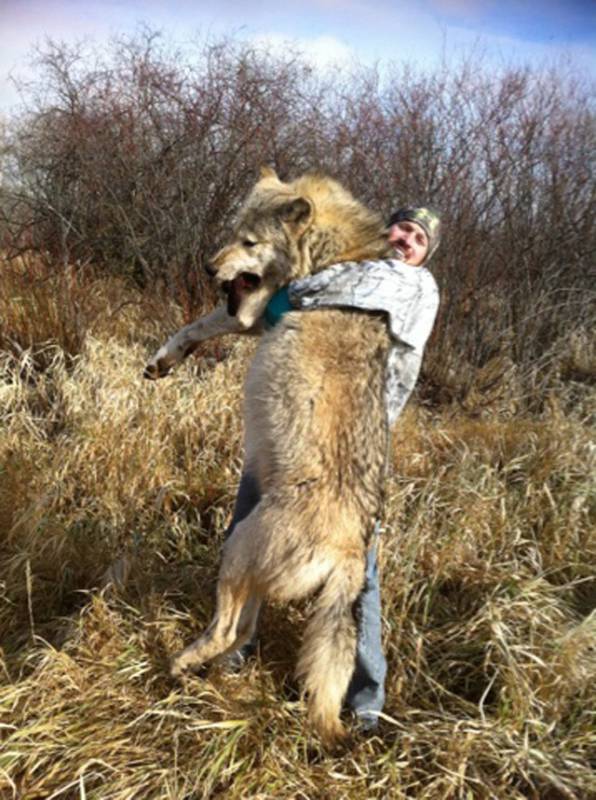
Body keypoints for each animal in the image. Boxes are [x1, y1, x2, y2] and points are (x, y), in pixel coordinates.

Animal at [147, 169, 394, 744]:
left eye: (250, 242)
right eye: (231, 232)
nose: (208, 266)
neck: (334, 255)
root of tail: (350, 553)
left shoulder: (261, 311)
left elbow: (218, 318)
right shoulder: (251, 317)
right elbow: (198, 324)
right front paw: (164, 360)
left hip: (236, 549)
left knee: (226, 629)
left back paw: (180, 663)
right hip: (250, 563)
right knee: (242, 632)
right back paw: (214, 671)